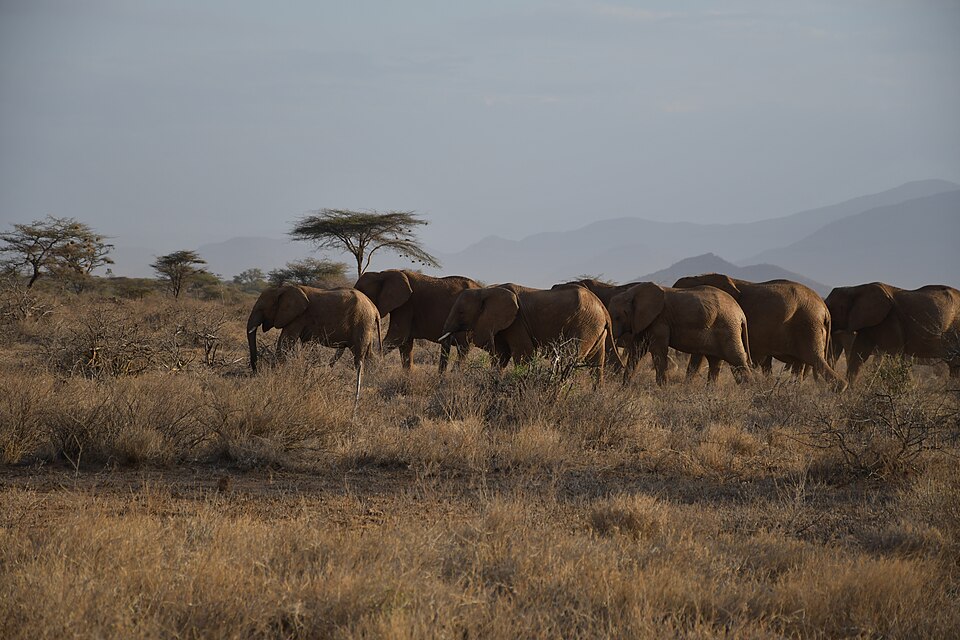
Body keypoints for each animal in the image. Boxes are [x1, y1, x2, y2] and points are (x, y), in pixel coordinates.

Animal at [246, 284, 381, 407]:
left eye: (261, 309)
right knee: (369, 354)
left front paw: (274, 372)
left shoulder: (298, 317)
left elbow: (286, 341)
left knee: (359, 356)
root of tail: (375, 310)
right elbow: (307, 345)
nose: (255, 371)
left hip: (362, 323)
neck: (281, 289)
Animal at [439, 283, 623, 385]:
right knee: (596, 366)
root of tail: (604, 309)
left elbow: (523, 354)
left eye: (461, 312)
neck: (485, 291)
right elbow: (501, 356)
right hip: (595, 330)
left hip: (584, 327)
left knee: (568, 362)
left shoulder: (517, 322)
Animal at [608, 283, 752, 385]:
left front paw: (663, 389)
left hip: (728, 327)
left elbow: (658, 350)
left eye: (617, 317)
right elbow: (637, 350)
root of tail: (741, 314)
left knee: (735, 358)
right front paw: (624, 388)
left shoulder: (659, 321)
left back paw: (749, 391)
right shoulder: (644, 321)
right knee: (715, 361)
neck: (631, 293)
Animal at [825, 282, 960, 382]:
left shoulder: (891, 320)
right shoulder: (869, 323)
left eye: (831, 309)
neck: (855, 289)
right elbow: (858, 354)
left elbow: (893, 356)